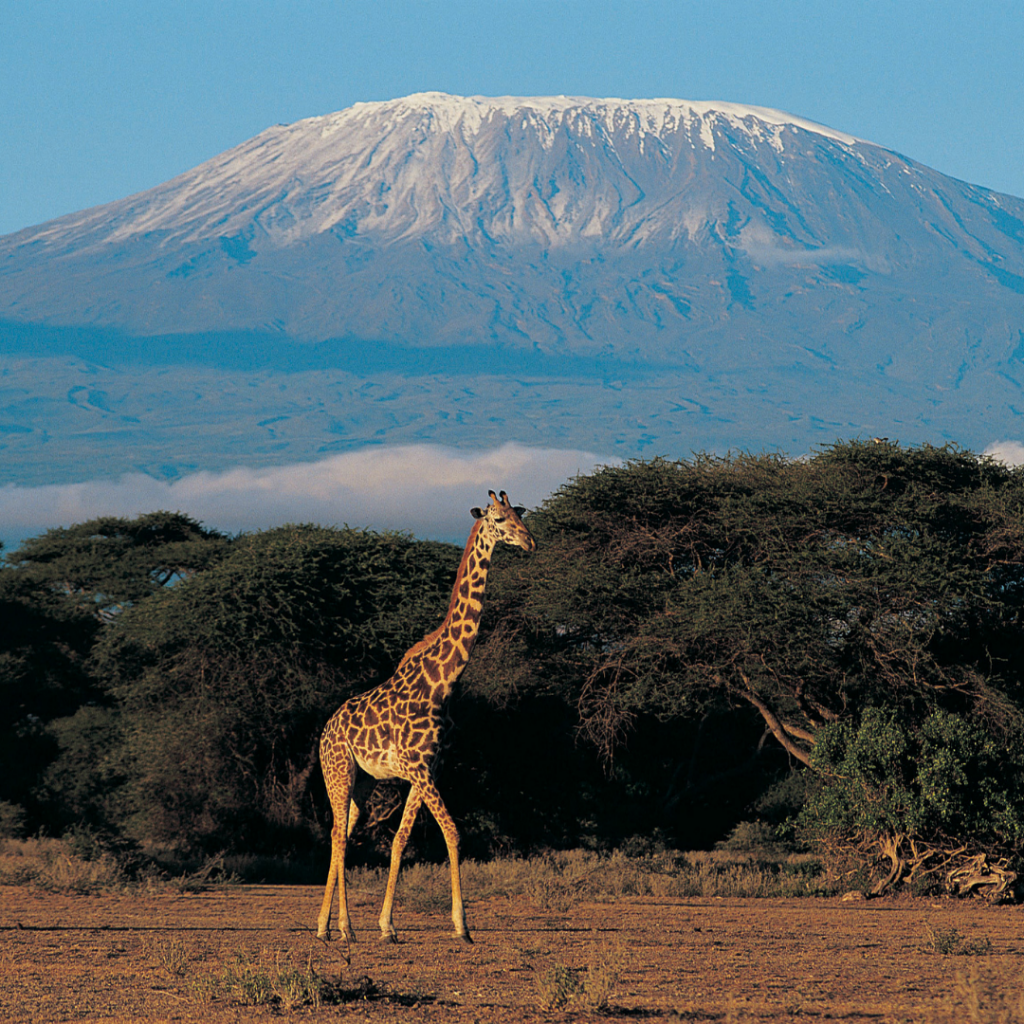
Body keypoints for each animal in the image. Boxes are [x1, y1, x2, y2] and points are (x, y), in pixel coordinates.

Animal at [316, 489, 536, 943]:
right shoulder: (418, 769)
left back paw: (324, 926)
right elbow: (453, 831)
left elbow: (401, 839)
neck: (443, 680)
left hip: (363, 782)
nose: (529, 542)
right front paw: (462, 927)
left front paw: (387, 926)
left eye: (520, 514)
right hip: (338, 771)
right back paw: (344, 927)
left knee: (341, 833)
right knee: (338, 836)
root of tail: (324, 732)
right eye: (498, 518)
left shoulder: (428, 769)